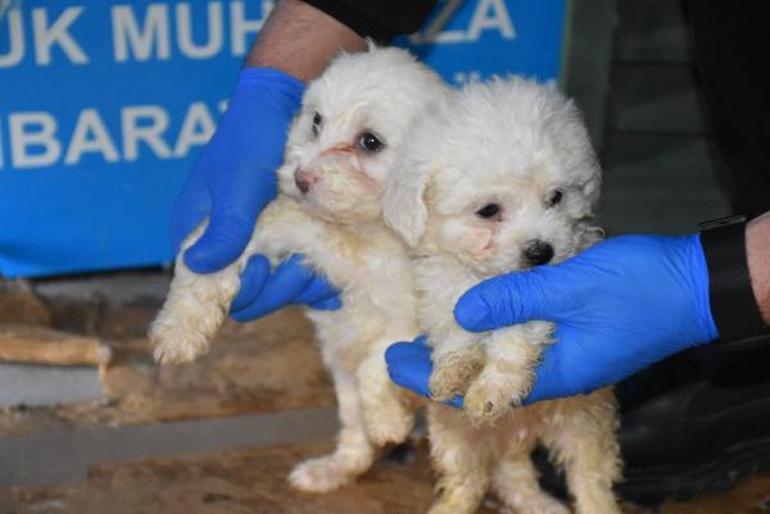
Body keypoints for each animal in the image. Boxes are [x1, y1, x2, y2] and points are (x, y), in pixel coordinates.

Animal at [148, 49, 444, 492]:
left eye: (370, 142)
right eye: (316, 121)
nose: (301, 179)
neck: (362, 233)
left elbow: (380, 358)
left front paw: (388, 420)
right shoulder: (276, 226)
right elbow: (205, 264)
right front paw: (178, 333)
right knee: (354, 435)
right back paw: (332, 469)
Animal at [382, 76, 616, 512]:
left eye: (556, 197)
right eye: (489, 211)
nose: (542, 251)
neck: (488, 279)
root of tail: (514, 434)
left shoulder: (540, 296)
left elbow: (514, 336)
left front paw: (493, 387)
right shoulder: (444, 289)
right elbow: (454, 328)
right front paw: (455, 368)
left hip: (581, 422)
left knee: (589, 479)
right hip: (455, 436)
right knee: (472, 479)